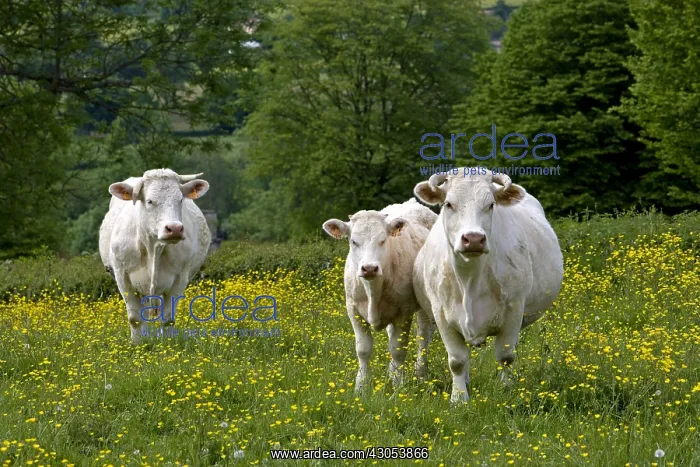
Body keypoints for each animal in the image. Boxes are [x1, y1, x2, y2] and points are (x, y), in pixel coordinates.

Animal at [99, 168, 211, 343]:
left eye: (180, 200)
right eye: (150, 201)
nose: (175, 228)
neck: (153, 248)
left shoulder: (181, 277)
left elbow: (168, 319)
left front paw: (166, 345)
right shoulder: (122, 276)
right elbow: (135, 318)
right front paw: (137, 344)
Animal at [323, 198, 438, 393]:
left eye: (383, 240)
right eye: (353, 241)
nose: (369, 268)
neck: (373, 291)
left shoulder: (404, 312)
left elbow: (398, 349)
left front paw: (398, 385)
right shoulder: (353, 310)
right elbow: (363, 349)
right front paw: (361, 386)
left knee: (423, 337)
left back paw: (420, 373)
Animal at [413, 171, 563, 402]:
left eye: (491, 204)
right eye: (448, 204)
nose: (473, 239)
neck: (469, 279)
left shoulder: (514, 310)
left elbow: (506, 356)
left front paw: (508, 390)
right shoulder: (441, 314)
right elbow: (457, 360)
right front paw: (459, 399)